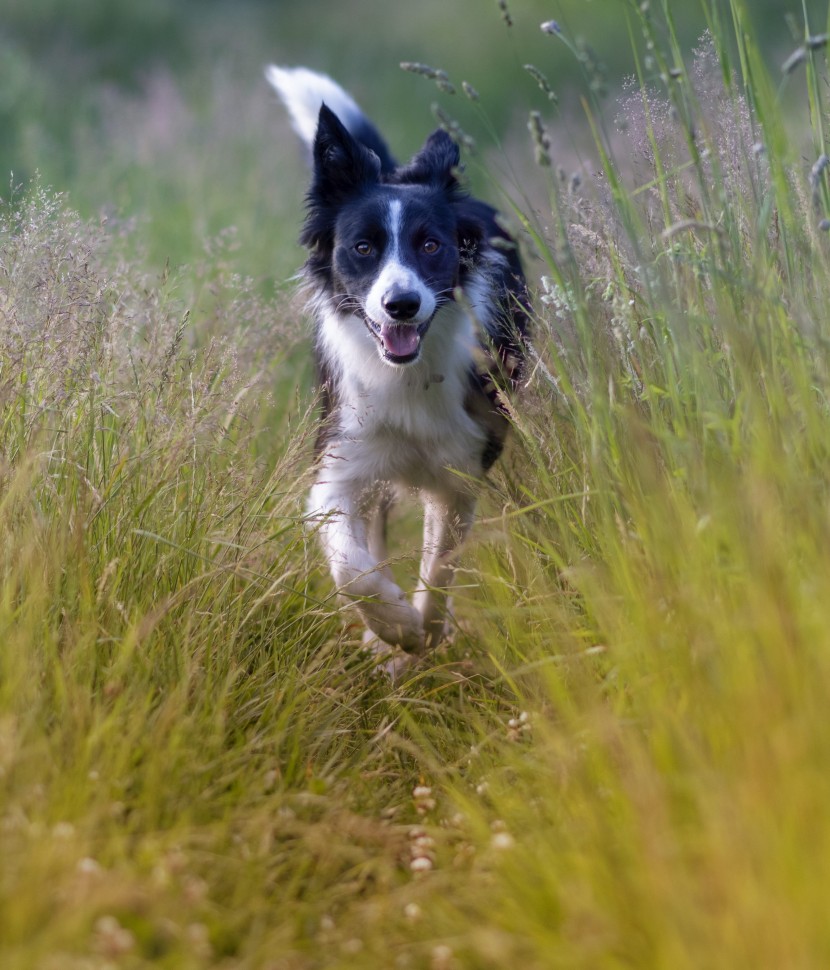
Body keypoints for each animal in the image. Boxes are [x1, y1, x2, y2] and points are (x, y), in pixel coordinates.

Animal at [268, 66, 532, 672]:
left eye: (430, 245)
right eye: (363, 247)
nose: (402, 305)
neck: (407, 375)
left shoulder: (461, 468)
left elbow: (439, 567)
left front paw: (423, 633)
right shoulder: (340, 460)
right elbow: (353, 567)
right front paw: (392, 627)